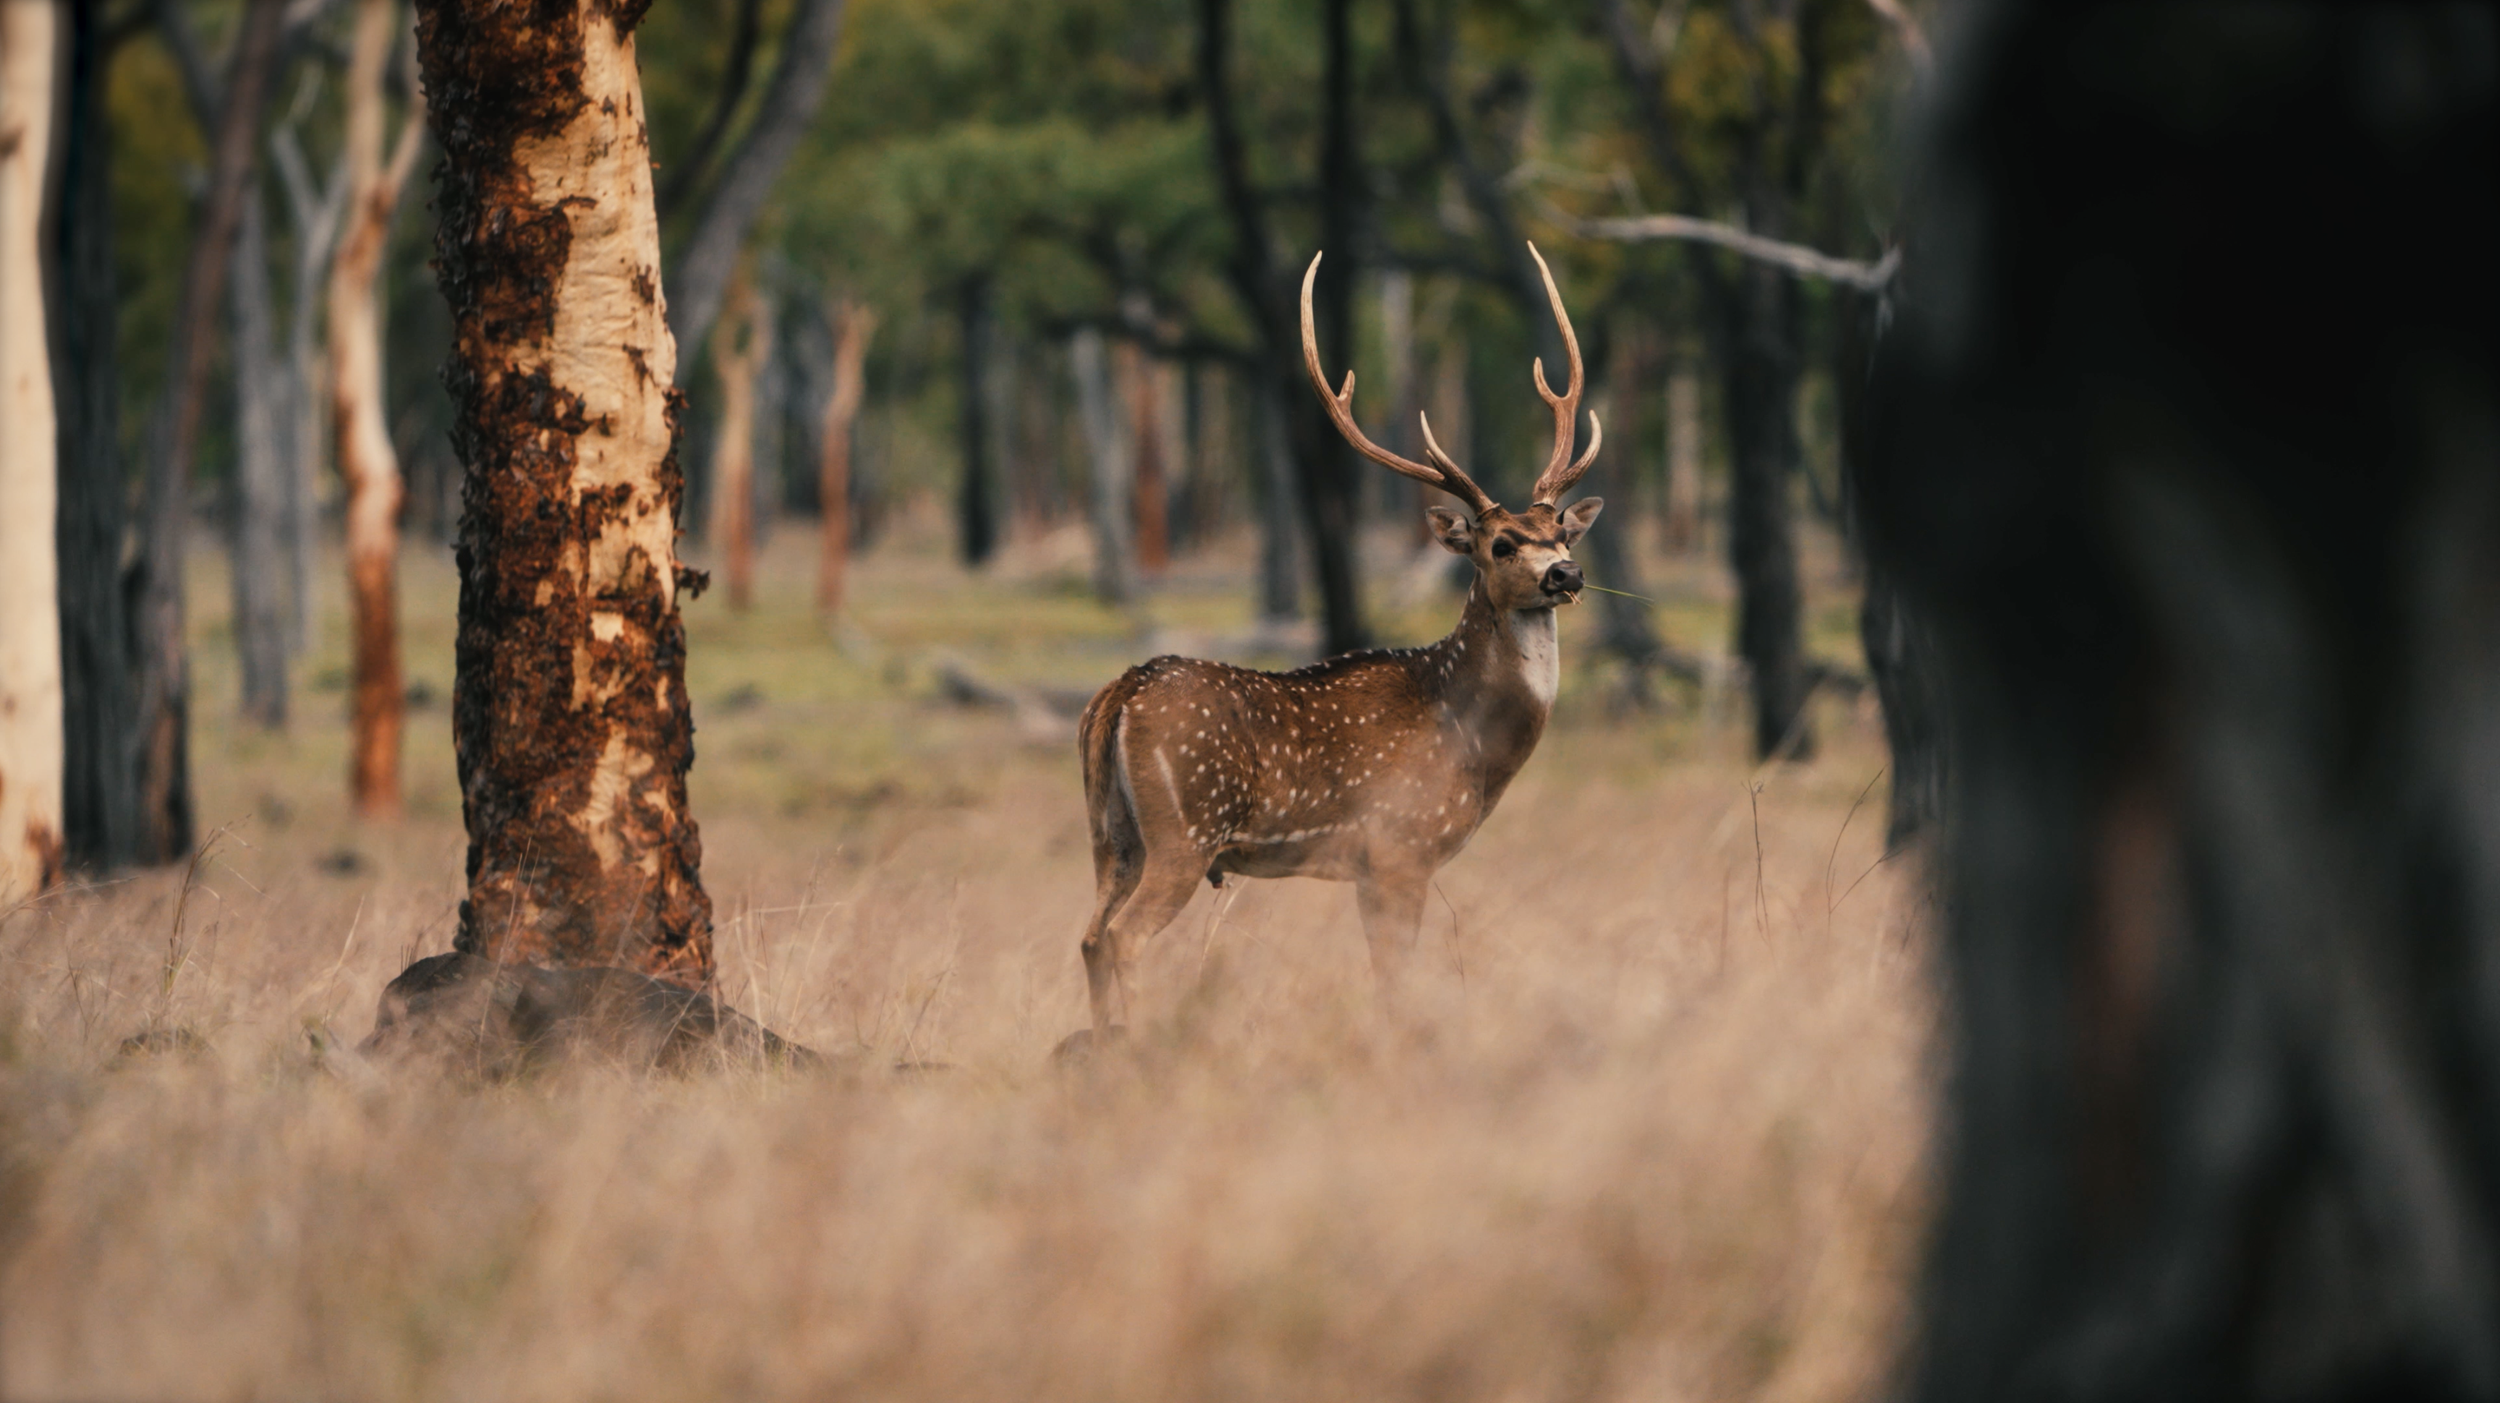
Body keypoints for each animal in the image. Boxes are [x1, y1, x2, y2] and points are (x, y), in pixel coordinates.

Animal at [1067, 242, 1605, 1042]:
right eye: (1503, 543)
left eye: (1560, 532)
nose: (1566, 573)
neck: (1470, 742)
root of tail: (1120, 695)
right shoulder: (1399, 849)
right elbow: (1395, 983)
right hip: (1185, 828)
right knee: (1124, 937)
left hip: (1109, 834)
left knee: (1090, 936)